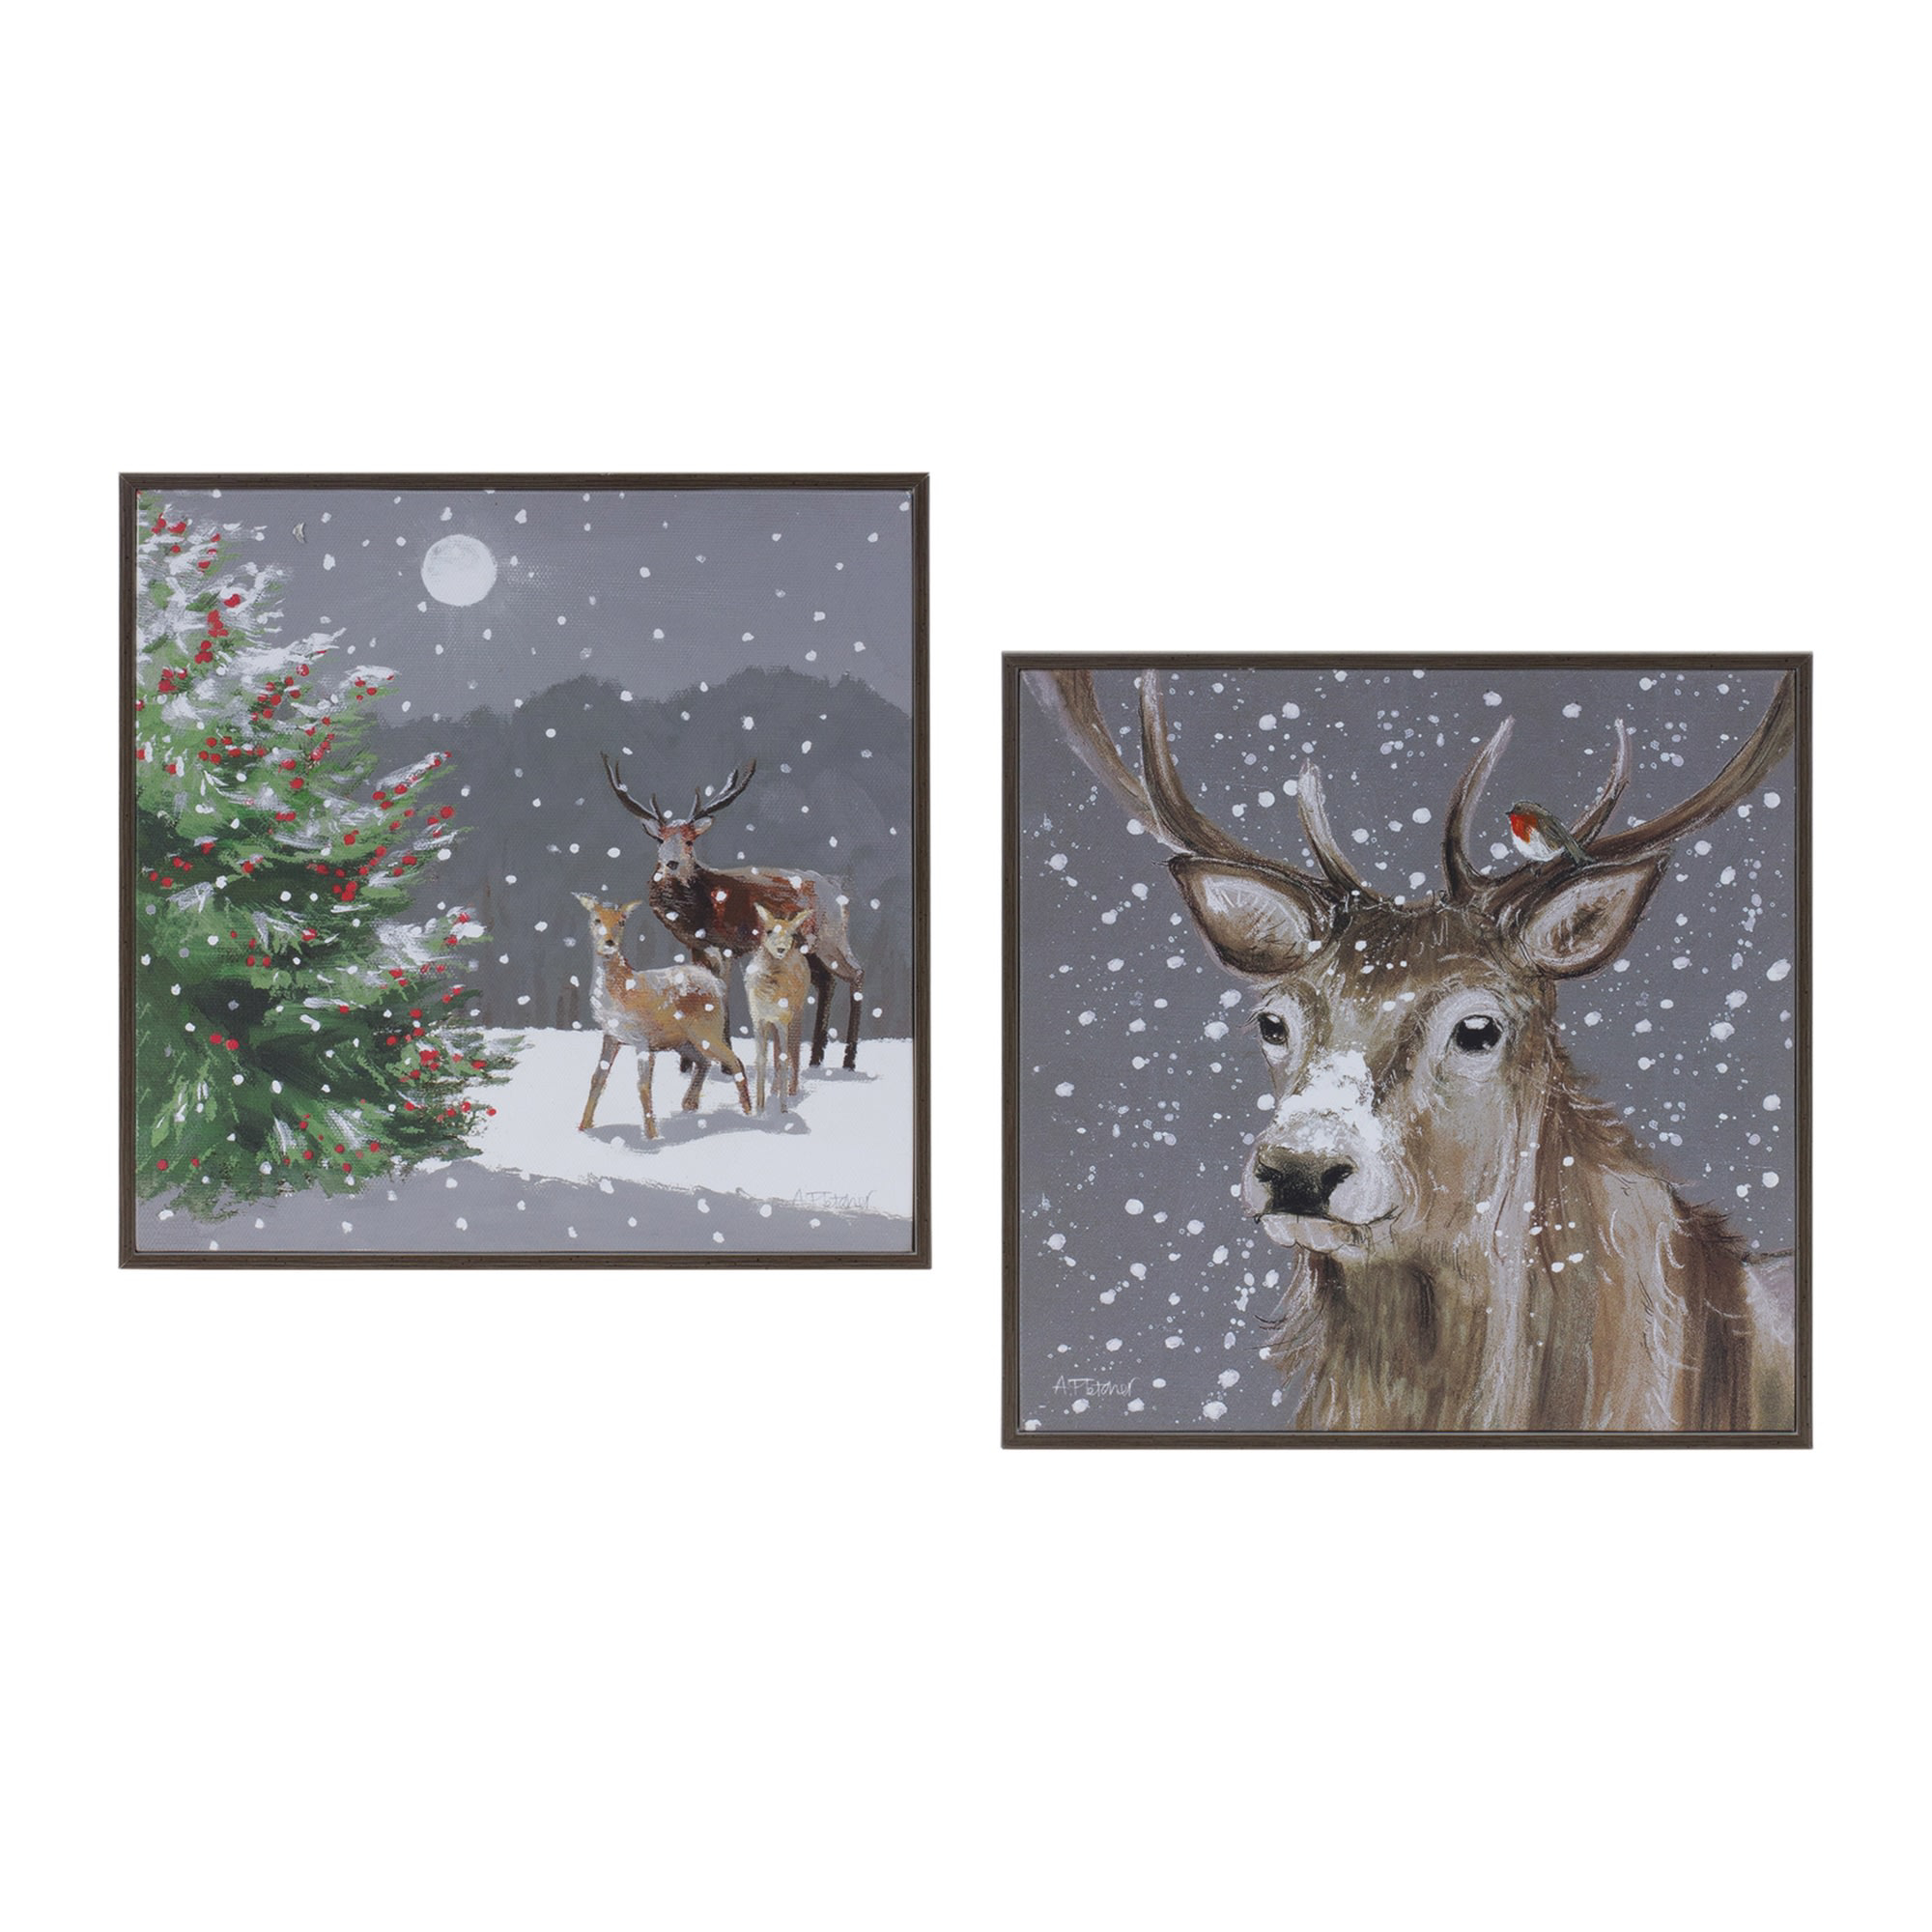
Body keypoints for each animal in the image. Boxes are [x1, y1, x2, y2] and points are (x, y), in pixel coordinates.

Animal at [572, 894, 750, 1138]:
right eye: (596, 919)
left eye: (621, 922)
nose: (609, 942)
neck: (621, 992)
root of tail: (715, 981)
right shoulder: (611, 1036)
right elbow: (597, 1078)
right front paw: (584, 1126)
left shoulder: (643, 1041)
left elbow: (644, 1087)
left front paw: (652, 1136)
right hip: (682, 1041)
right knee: (705, 1062)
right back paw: (690, 1104)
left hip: (706, 1031)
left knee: (734, 1060)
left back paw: (751, 1112)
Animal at [599, 755, 866, 1071]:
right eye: (660, 840)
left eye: (689, 841)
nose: (672, 863)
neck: (700, 910)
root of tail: (838, 890)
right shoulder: (696, 947)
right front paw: (686, 1066)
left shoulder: (727, 947)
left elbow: (723, 997)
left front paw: (725, 1065)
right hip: (807, 945)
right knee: (827, 981)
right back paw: (815, 1059)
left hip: (831, 936)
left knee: (857, 973)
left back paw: (849, 1060)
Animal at [744, 904, 814, 1112]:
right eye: (768, 931)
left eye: (792, 933)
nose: (781, 949)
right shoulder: (759, 1020)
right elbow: (761, 1058)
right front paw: (759, 1108)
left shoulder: (783, 1020)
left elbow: (784, 1058)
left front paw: (783, 1109)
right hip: (772, 1024)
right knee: (776, 1053)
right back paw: (773, 1091)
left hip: (796, 1015)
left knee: (794, 1049)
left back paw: (792, 1091)